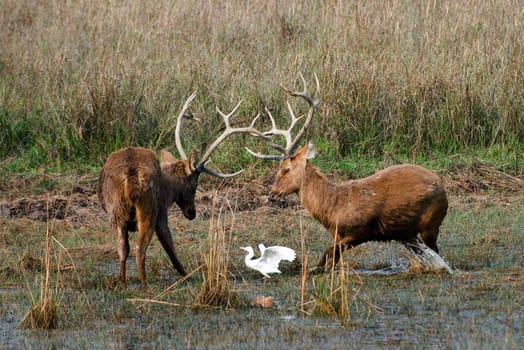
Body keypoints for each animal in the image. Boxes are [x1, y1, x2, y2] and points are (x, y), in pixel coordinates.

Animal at [96, 91, 266, 286]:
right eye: (194, 185)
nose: (192, 213)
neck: (167, 188)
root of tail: (131, 177)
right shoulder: (162, 210)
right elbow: (170, 247)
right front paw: (187, 275)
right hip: (149, 208)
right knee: (140, 248)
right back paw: (145, 285)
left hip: (115, 211)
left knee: (122, 248)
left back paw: (123, 282)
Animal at [248, 73, 448, 270]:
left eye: (285, 169)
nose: (272, 194)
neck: (332, 208)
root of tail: (442, 187)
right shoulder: (339, 235)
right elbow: (329, 260)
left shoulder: (359, 231)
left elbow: (326, 255)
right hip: (409, 232)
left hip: (430, 223)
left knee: (437, 253)